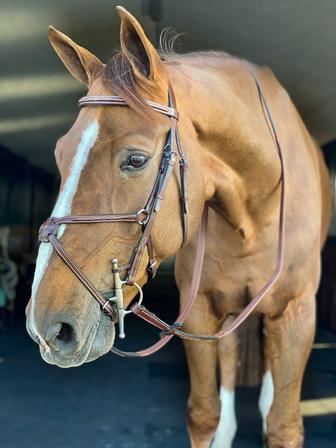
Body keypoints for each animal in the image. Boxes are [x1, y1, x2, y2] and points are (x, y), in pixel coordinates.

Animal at [25, 7, 330, 448]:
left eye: (135, 160)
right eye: (59, 154)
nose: (45, 326)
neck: (255, 214)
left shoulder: (297, 316)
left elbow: (283, 426)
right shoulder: (200, 311)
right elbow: (203, 414)